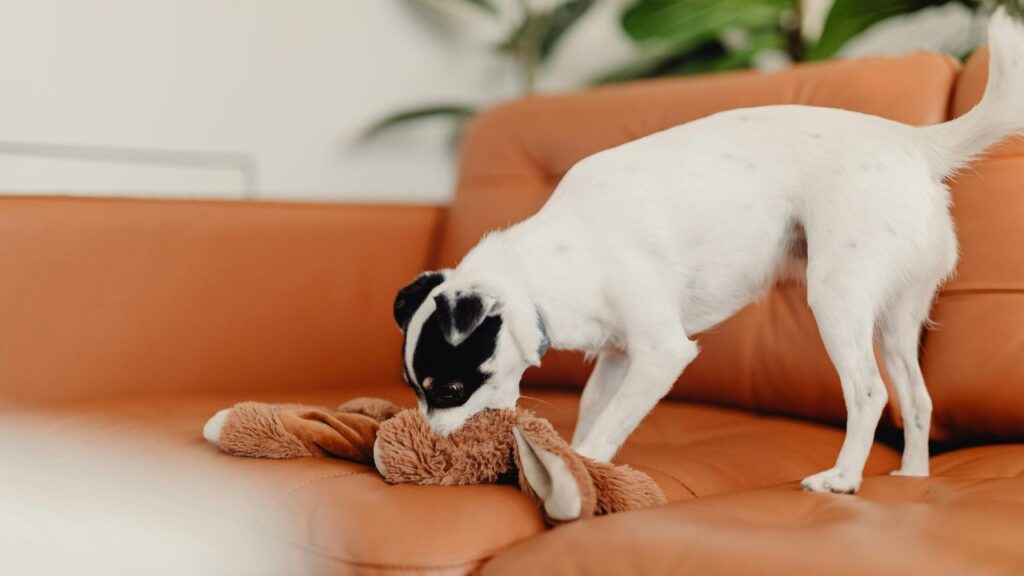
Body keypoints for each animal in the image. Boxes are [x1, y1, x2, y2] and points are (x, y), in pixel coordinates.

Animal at [393, 11, 1024, 491]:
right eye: (413, 389)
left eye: (448, 390)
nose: (431, 448)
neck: (547, 266)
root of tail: (914, 142)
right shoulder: (619, 357)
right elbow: (595, 409)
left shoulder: (661, 353)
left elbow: (606, 427)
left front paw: (585, 471)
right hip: (897, 318)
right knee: (917, 400)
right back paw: (913, 477)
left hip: (837, 299)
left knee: (869, 394)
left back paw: (842, 480)